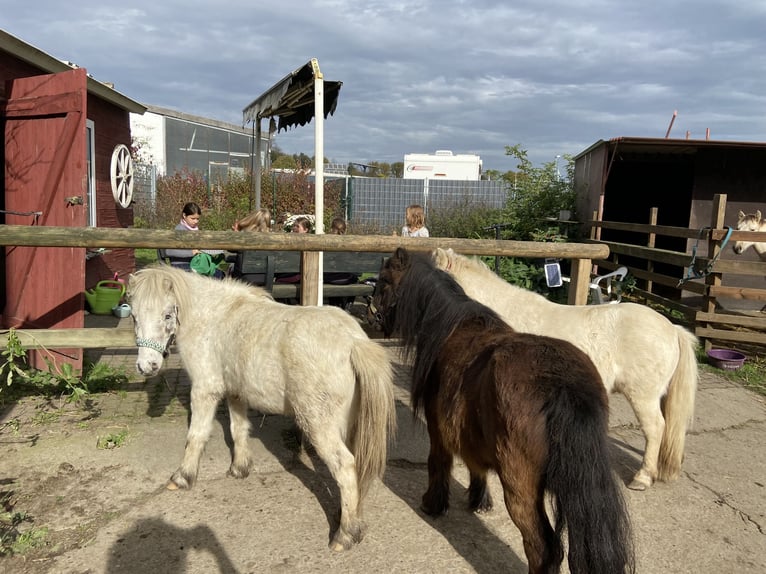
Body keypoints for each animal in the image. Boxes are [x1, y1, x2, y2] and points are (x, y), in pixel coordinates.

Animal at [127, 265, 396, 551]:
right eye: (133, 315)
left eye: (167, 314)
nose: (147, 366)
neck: (215, 318)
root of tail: (354, 342)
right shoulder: (236, 392)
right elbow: (238, 429)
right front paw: (240, 468)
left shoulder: (204, 389)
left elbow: (196, 436)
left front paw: (183, 477)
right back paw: (349, 518)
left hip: (320, 425)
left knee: (345, 466)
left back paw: (344, 535)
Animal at [369, 247, 634, 574]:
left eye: (384, 280)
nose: (371, 316)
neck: (454, 326)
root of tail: (562, 384)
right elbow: (475, 464)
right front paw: (478, 499)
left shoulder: (437, 426)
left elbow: (438, 462)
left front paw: (433, 503)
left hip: (520, 484)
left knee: (542, 547)